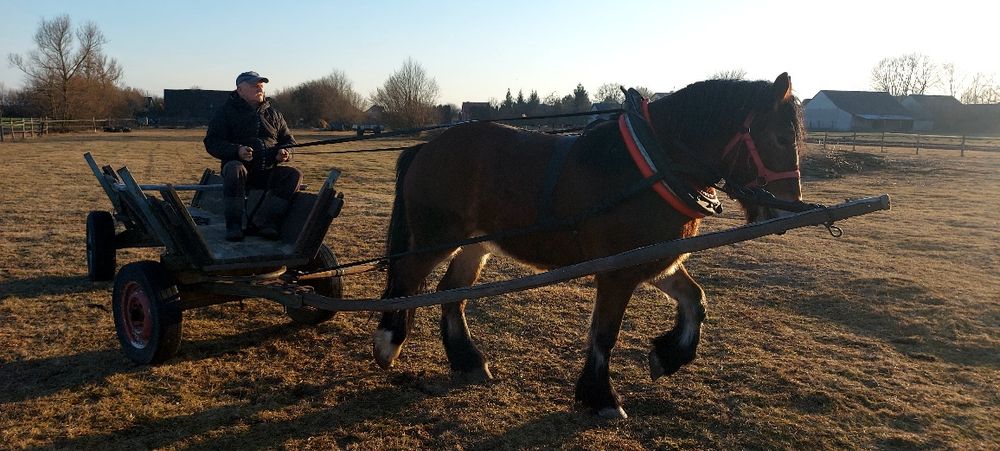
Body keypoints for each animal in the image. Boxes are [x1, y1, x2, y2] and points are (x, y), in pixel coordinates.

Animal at [372, 73, 804, 419]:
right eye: (781, 138)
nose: (788, 206)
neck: (651, 166)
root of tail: (427, 147)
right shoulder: (616, 273)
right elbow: (604, 334)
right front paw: (601, 398)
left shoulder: (655, 260)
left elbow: (694, 300)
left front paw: (667, 357)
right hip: (435, 239)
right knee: (405, 283)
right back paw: (388, 344)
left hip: (475, 246)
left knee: (452, 293)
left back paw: (468, 362)